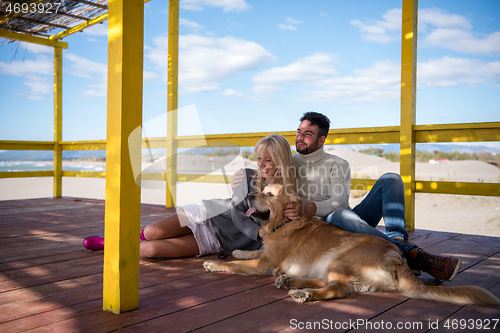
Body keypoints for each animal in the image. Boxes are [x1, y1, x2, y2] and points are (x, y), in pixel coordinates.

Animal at [204, 184, 500, 304]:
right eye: (262, 188)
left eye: (270, 194)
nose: (249, 196)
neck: (283, 222)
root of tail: (398, 258)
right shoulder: (263, 254)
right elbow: (246, 253)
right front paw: (237, 250)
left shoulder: (265, 263)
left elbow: (237, 265)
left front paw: (212, 264)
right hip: (333, 264)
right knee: (332, 283)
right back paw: (292, 283)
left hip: (340, 257)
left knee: (337, 290)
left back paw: (302, 293)